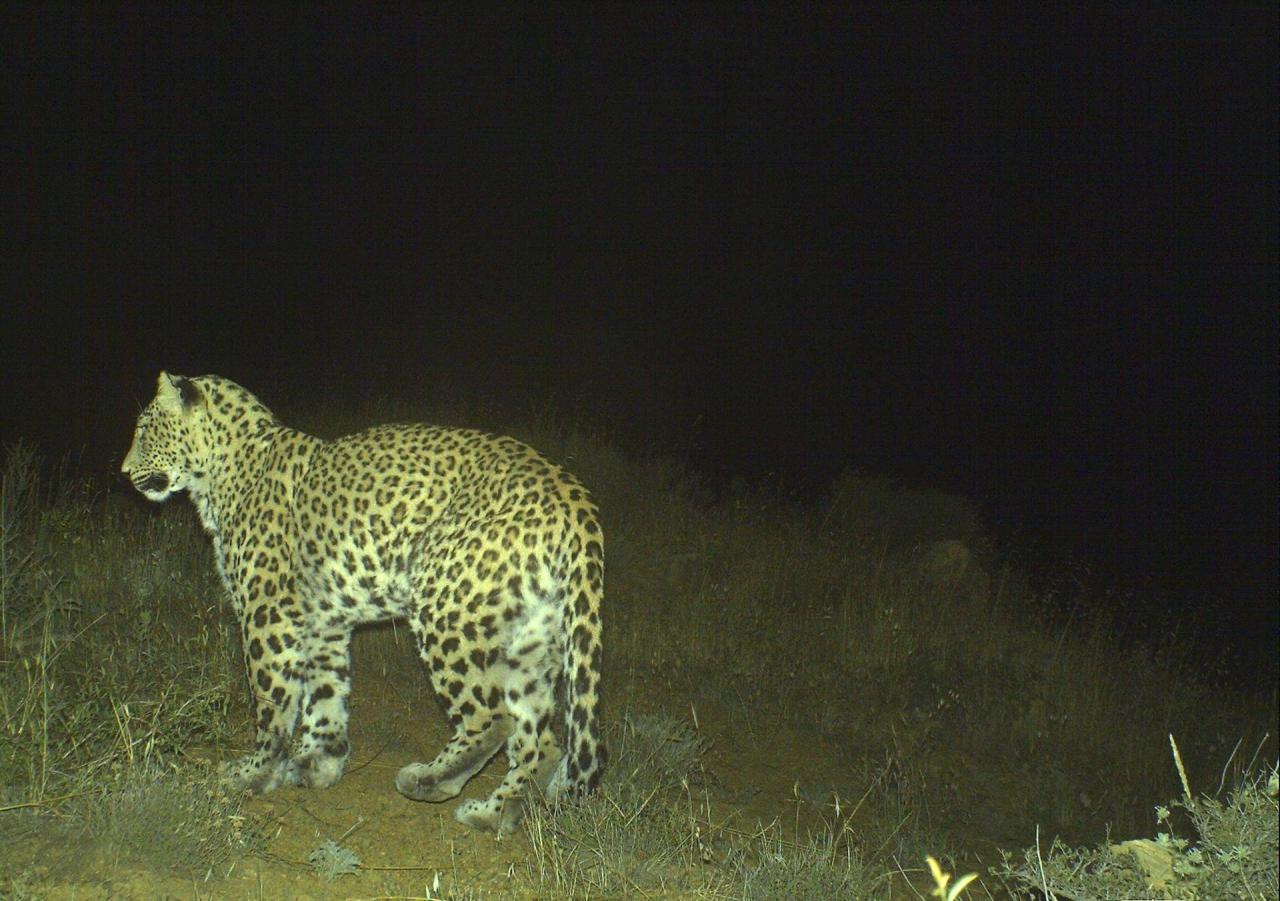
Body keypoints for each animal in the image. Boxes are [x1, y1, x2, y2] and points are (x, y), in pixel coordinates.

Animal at [122, 368, 601, 834]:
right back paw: (496, 812)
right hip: (528, 639)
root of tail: (573, 494)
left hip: (446, 610)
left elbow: (272, 700)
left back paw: (431, 780)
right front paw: (319, 762)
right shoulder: (323, 622)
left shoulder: (268, 614)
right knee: (543, 739)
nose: (125, 472)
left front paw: (254, 772)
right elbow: (326, 693)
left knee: (494, 717)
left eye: (144, 430)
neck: (219, 473)